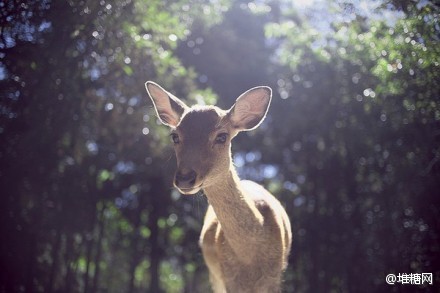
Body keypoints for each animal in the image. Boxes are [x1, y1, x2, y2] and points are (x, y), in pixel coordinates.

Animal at [145, 80, 292, 292]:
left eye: (222, 136)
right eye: (175, 136)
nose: (185, 178)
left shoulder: (274, 278)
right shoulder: (227, 278)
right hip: (214, 277)